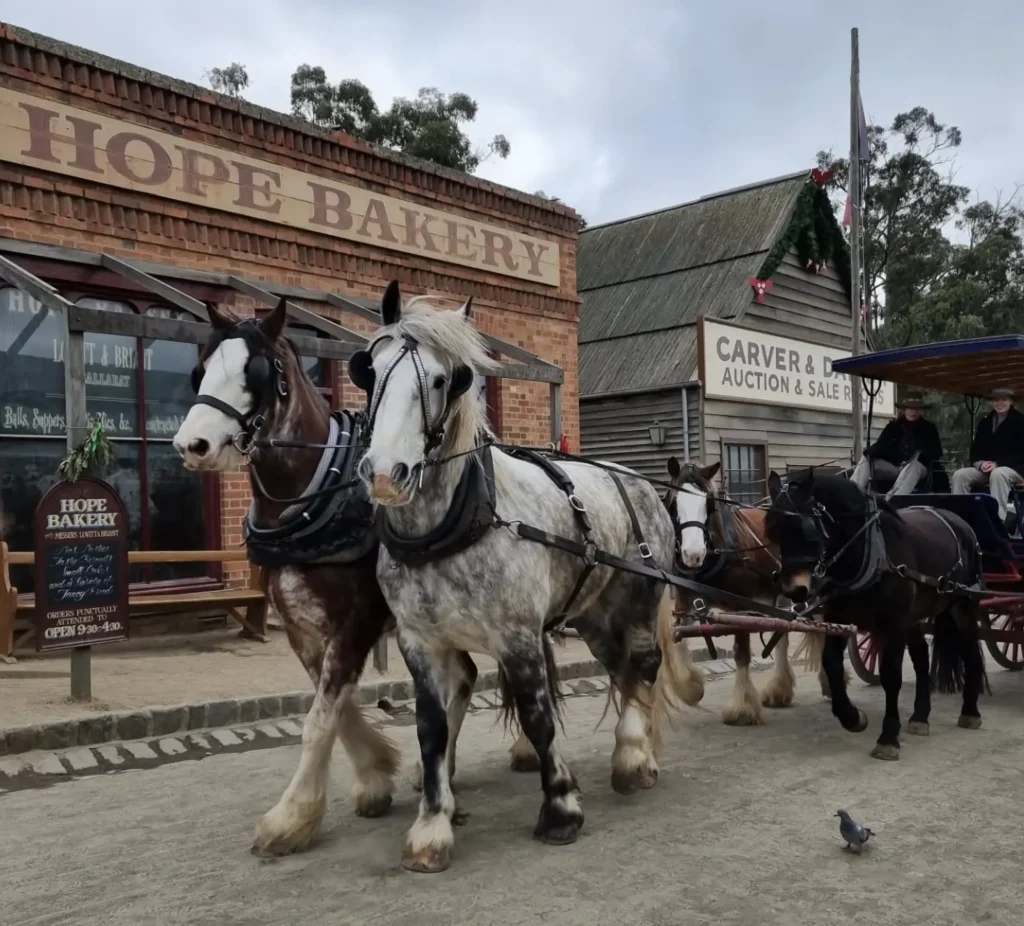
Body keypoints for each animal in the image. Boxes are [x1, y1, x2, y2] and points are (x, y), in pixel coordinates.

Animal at [352, 282, 704, 876]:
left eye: (443, 380)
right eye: (371, 371)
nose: (384, 475)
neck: (454, 526)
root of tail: (637, 481)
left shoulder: (517, 636)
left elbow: (538, 717)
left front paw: (560, 806)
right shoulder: (420, 642)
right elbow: (431, 728)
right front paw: (432, 826)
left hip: (636, 598)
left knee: (643, 666)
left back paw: (633, 755)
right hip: (592, 616)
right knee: (620, 669)